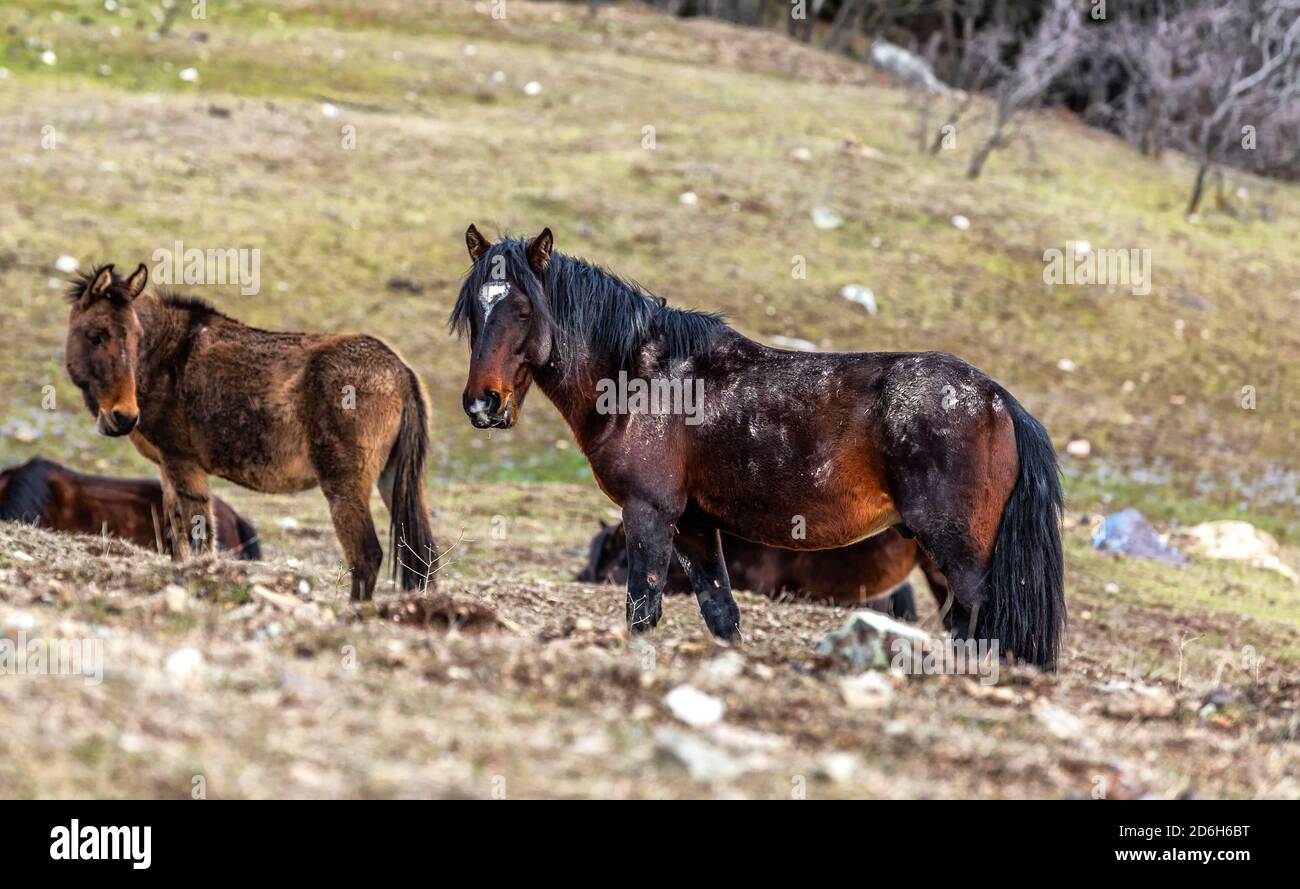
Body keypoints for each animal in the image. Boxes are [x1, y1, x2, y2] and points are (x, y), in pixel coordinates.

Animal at [63, 259, 436, 600]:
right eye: (95, 337)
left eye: (137, 338)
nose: (124, 417)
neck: (164, 356)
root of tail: (401, 372)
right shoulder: (167, 469)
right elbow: (177, 543)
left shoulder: (183, 463)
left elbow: (200, 543)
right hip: (394, 479)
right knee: (423, 556)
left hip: (345, 483)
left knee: (366, 555)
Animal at [457, 228, 1066, 665]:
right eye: (473, 314)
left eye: (524, 310)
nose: (483, 403)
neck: (641, 379)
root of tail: (997, 400)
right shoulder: (694, 525)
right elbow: (721, 615)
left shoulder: (648, 513)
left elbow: (641, 613)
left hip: (958, 554)